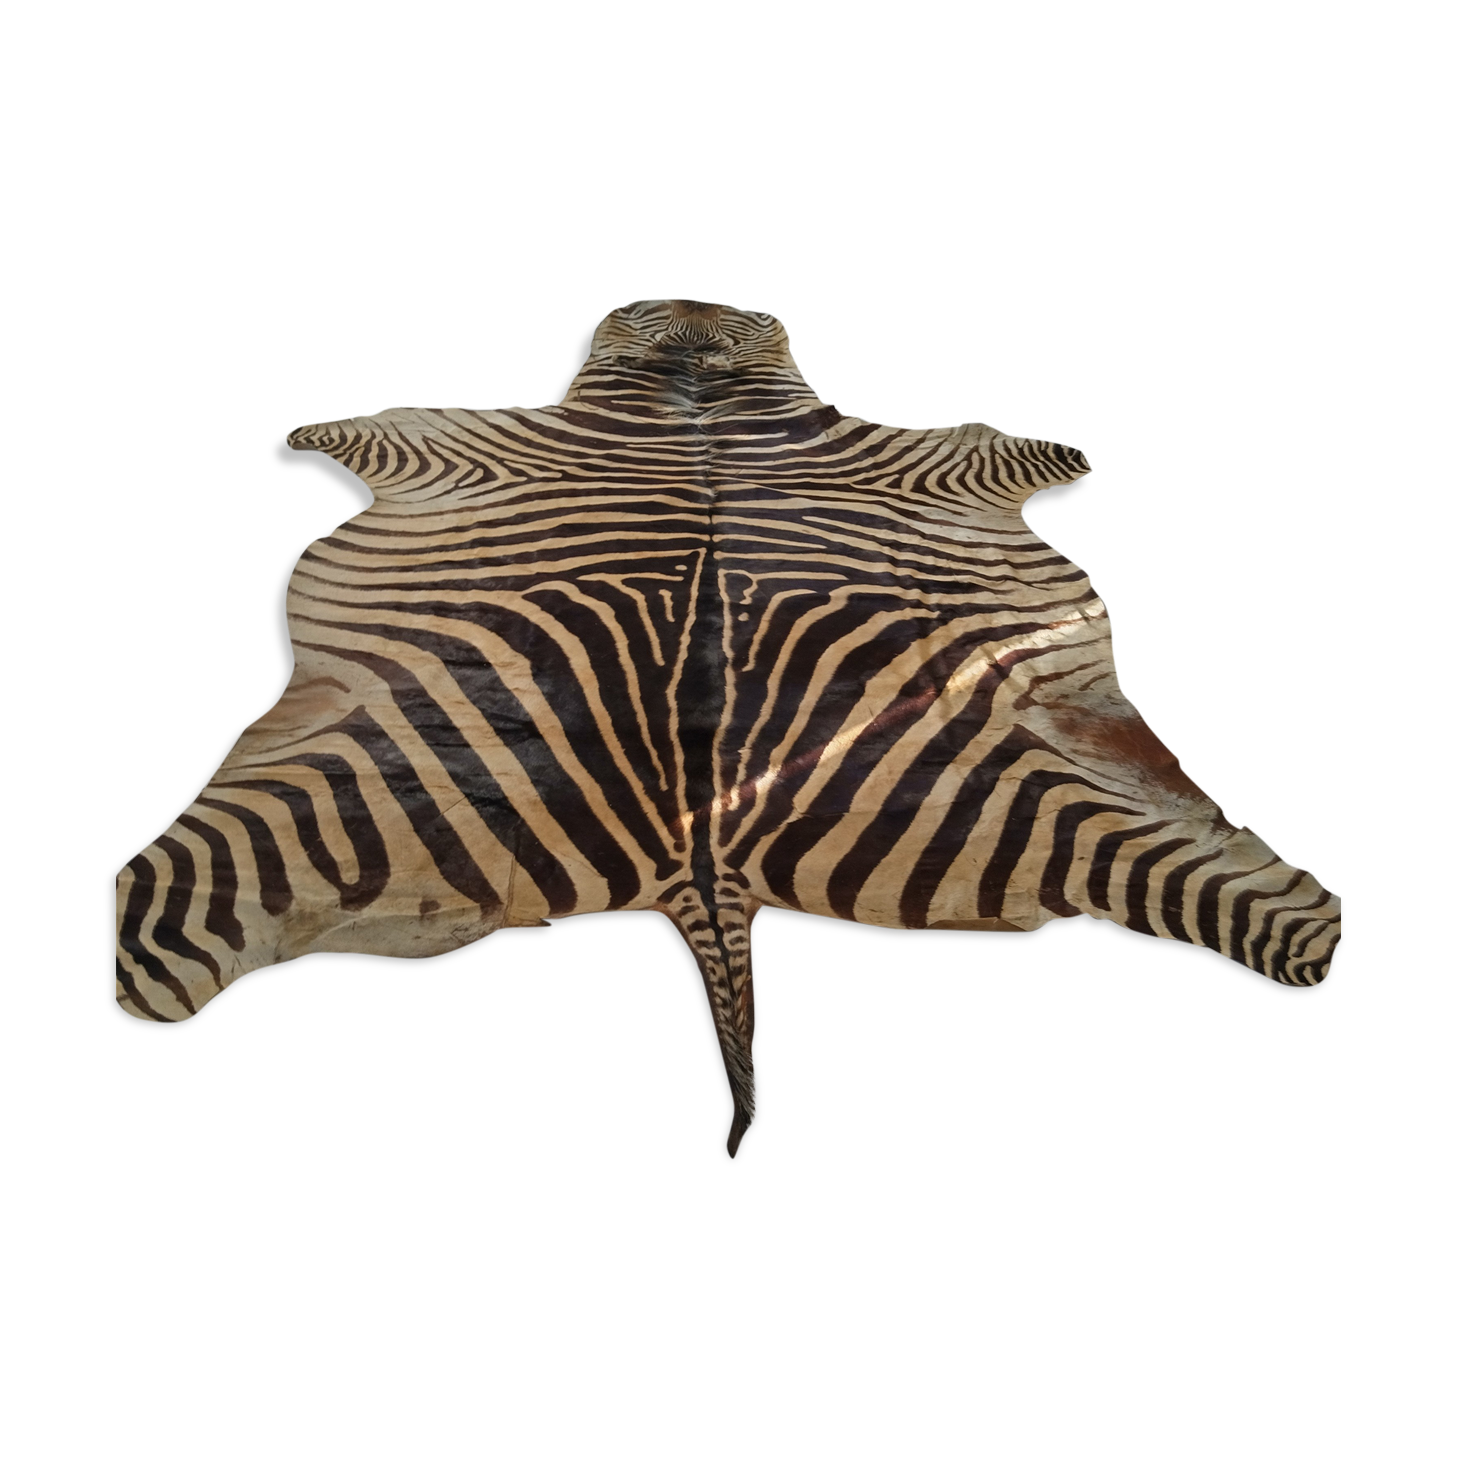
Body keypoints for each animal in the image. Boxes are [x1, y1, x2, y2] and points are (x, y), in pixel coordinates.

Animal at [113, 298, 1343, 1161]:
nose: (694, 294)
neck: (694, 390)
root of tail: (707, 866)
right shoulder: (456, 440)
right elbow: (348, 425)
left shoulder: (927, 457)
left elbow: (1018, 448)